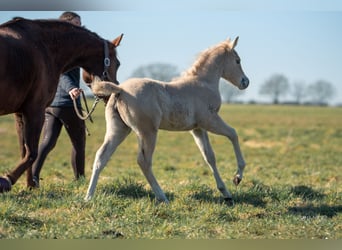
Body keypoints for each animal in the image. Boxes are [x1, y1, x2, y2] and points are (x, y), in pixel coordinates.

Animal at [0, 17, 123, 192]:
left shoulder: (20, 114)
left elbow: (24, 151)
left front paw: (30, 185)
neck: (44, 47)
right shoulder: (35, 110)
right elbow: (32, 153)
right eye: (117, 63)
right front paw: (6, 180)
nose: (115, 92)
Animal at [85, 37, 248, 204]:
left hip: (119, 130)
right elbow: (233, 134)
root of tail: (121, 90)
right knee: (144, 161)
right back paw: (162, 197)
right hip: (147, 132)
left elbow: (210, 157)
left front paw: (226, 192)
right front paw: (237, 177)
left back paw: (88, 196)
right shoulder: (210, 120)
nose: (245, 82)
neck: (203, 83)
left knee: (101, 156)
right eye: (237, 60)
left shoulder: (197, 129)